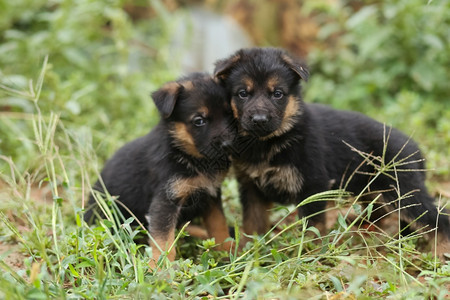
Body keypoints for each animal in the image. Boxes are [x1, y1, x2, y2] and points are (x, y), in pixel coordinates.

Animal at [85, 72, 239, 268]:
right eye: (199, 121)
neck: (187, 155)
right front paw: (160, 268)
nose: (229, 145)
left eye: (230, 114)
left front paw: (228, 252)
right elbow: (164, 240)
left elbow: (219, 226)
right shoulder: (165, 201)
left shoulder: (211, 195)